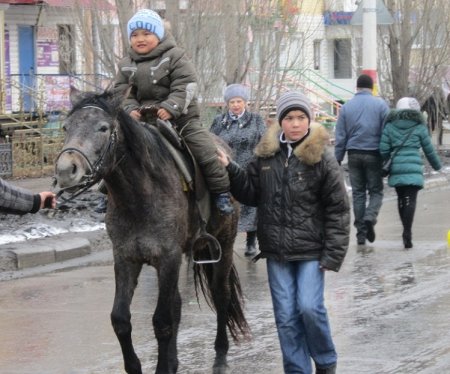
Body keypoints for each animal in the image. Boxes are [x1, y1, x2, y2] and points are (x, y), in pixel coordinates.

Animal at [53, 87, 250, 374]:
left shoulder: (167, 258)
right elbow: (121, 318)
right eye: (66, 127)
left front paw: (162, 366)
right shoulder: (126, 258)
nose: (66, 171)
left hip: (224, 241)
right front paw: (138, 365)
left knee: (220, 293)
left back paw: (220, 351)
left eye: (103, 127)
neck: (139, 195)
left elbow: (162, 321)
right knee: (178, 302)